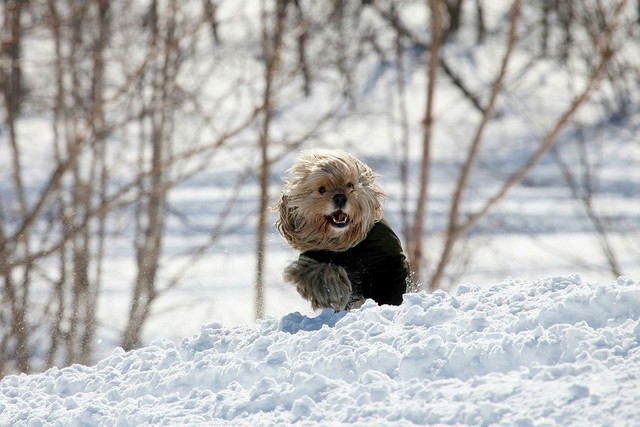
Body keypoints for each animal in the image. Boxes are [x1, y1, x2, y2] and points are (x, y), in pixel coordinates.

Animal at [276, 150, 410, 310]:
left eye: (350, 185)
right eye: (321, 189)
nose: (340, 197)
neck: (344, 242)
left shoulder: (389, 263)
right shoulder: (315, 257)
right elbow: (319, 272)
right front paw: (332, 291)